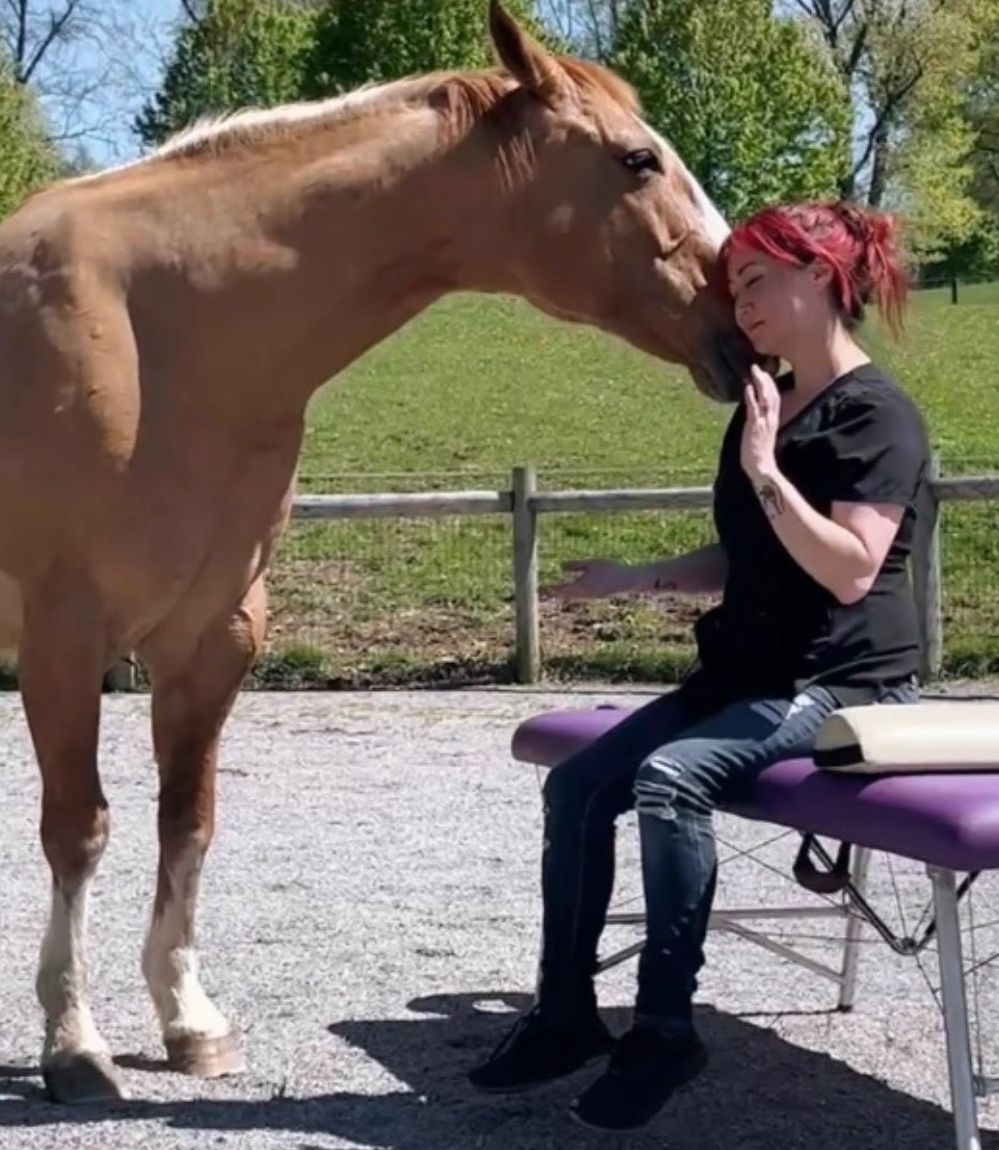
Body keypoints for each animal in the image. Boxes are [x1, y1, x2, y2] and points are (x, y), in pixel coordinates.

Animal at [0, 1, 756, 1103]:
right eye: (636, 159)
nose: (744, 321)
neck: (157, 325)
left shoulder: (214, 635)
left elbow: (187, 819)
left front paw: (189, 1020)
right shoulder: (63, 637)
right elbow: (78, 829)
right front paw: (74, 1044)